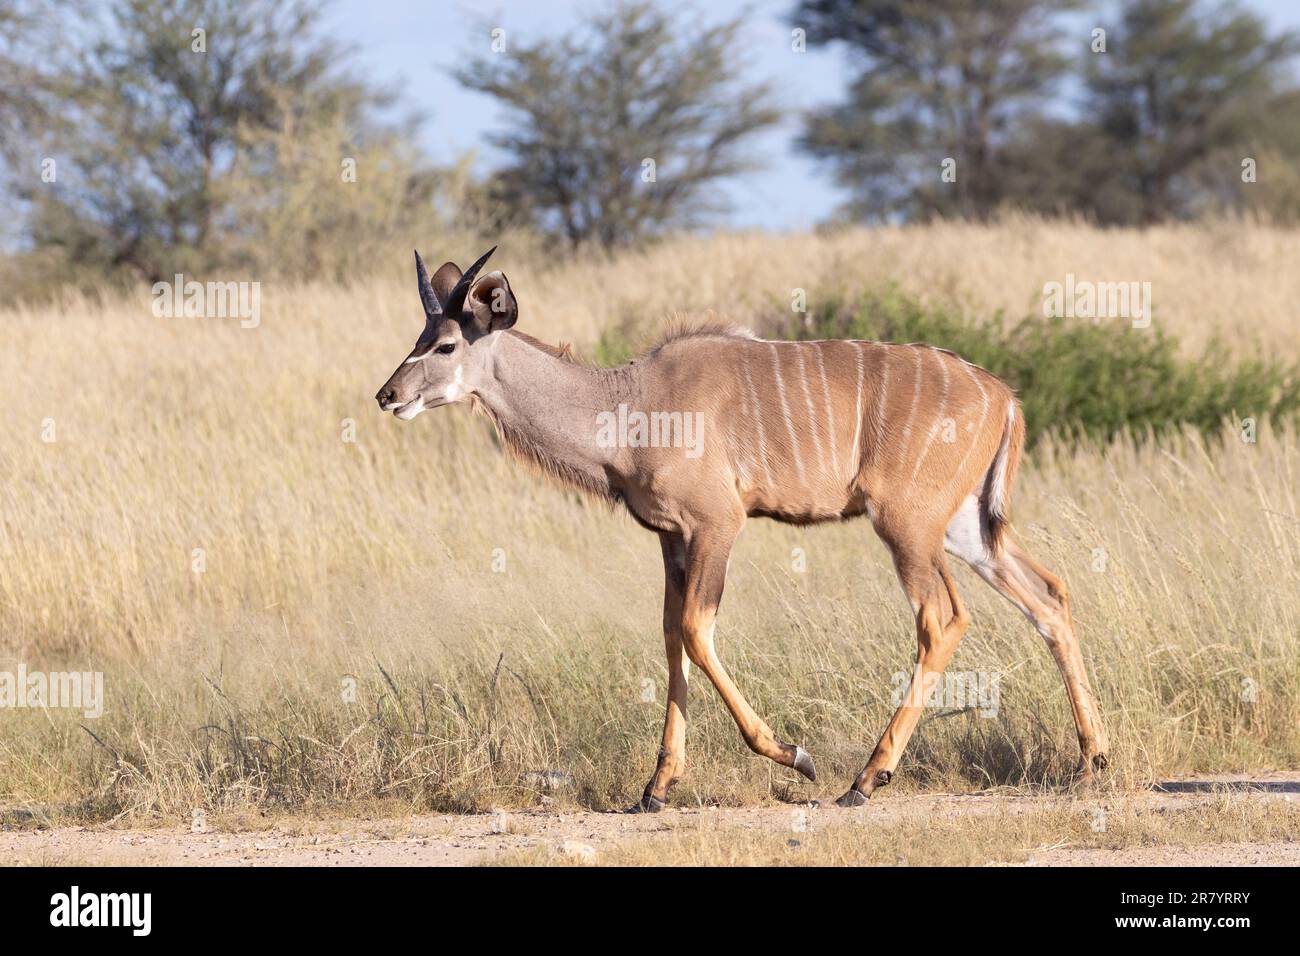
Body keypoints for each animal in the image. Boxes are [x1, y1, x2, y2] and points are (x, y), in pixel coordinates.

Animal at [374, 251, 1107, 811]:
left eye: (445, 344)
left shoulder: (717, 524)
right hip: (964, 532)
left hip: (908, 528)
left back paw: (865, 779)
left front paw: (793, 755)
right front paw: (656, 787)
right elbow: (671, 637)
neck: (629, 406)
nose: (387, 396)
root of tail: (1004, 397)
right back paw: (1091, 759)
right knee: (1048, 596)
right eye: (417, 338)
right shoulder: (670, 538)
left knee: (943, 617)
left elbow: (698, 632)